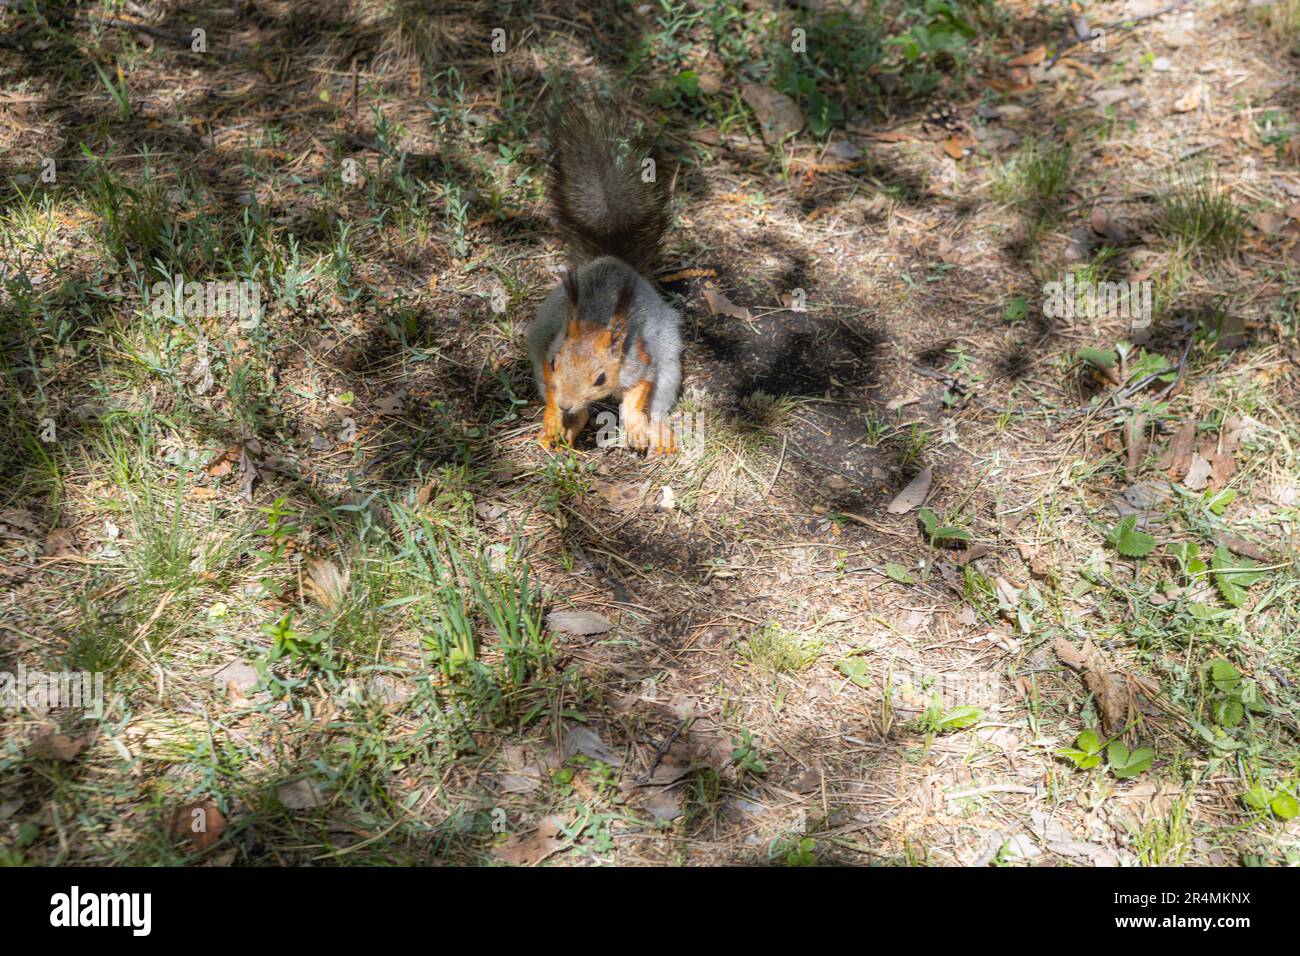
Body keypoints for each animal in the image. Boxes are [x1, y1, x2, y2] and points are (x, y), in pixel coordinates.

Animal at [522, 104, 681, 455]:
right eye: (556, 364)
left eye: (600, 379)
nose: (568, 404)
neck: (597, 320)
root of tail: (611, 260)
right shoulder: (549, 354)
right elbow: (551, 389)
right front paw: (556, 418)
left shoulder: (640, 361)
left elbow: (637, 397)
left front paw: (635, 427)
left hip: (670, 364)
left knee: (658, 405)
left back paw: (659, 432)